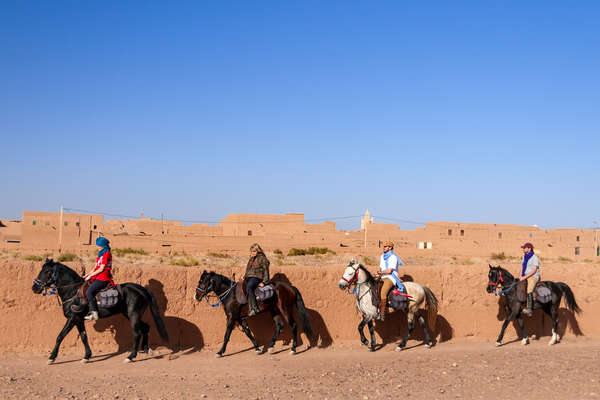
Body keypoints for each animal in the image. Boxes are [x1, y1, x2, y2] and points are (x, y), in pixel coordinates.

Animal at [32, 258, 169, 364]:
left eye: (47, 272)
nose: (34, 288)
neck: (73, 291)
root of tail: (141, 289)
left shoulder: (72, 318)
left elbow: (60, 336)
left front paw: (51, 357)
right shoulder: (79, 320)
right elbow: (84, 337)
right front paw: (87, 356)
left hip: (133, 315)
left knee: (137, 333)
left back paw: (130, 357)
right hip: (130, 315)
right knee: (146, 327)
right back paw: (146, 349)